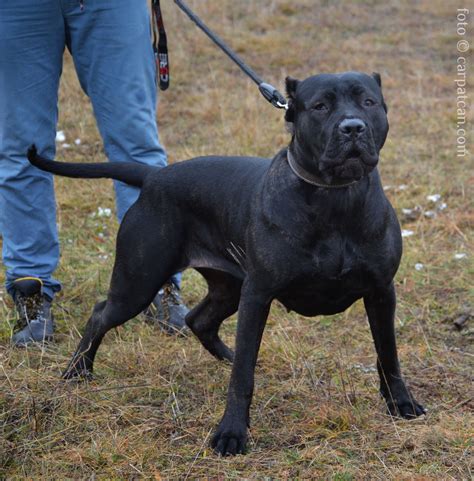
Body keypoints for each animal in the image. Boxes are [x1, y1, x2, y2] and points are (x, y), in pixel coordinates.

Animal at [26, 71, 426, 454]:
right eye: (320, 106)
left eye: (368, 102)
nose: (353, 127)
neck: (335, 198)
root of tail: (154, 176)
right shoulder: (257, 295)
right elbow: (243, 377)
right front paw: (231, 433)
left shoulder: (380, 291)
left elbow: (388, 354)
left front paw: (401, 403)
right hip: (139, 282)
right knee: (101, 315)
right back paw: (77, 372)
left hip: (227, 286)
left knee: (198, 319)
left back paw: (225, 355)